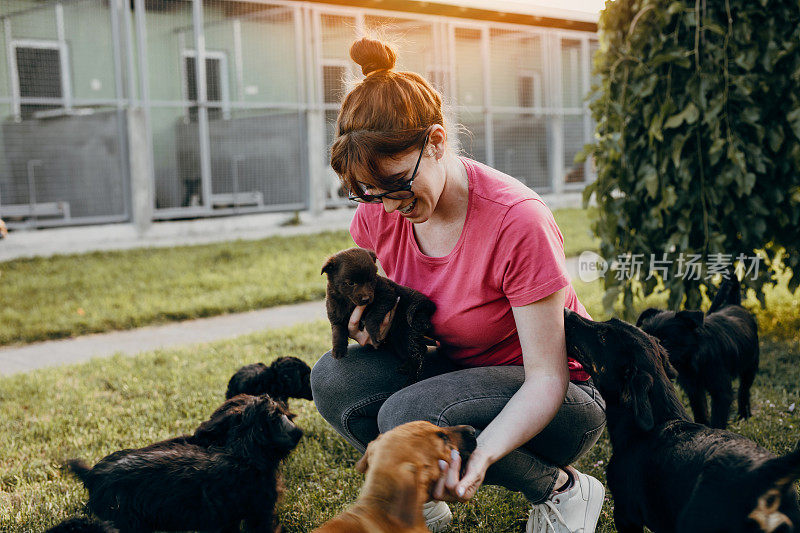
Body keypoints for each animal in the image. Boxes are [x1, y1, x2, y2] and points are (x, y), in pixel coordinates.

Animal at [320, 247, 438, 380]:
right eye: (351, 283)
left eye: (371, 280)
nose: (366, 299)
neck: (349, 303)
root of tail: (427, 304)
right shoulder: (335, 312)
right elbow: (337, 331)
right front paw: (338, 350)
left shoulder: (387, 296)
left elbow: (372, 316)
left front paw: (374, 334)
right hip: (398, 338)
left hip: (409, 327)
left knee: (418, 349)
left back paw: (411, 371)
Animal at [636, 274, 764, 428]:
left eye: (665, 341)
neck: (690, 358)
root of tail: (735, 304)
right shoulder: (694, 389)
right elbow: (700, 410)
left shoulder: (721, 393)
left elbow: (718, 418)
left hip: (750, 367)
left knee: (744, 391)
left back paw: (744, 415)